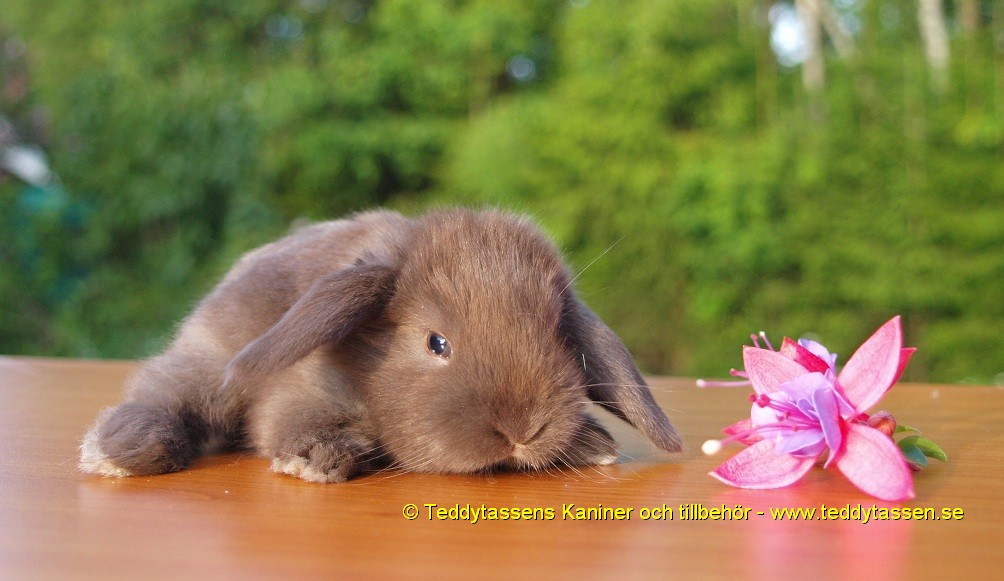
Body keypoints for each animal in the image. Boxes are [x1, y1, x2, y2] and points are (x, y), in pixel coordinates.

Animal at [80, 208, 682, 481]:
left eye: (558, 335)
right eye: (436, 343)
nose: (522, 430)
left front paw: (592, 445)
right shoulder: (303, 388)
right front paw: (315, 459)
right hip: (209, 354)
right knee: (166, 389)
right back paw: (116, 449)